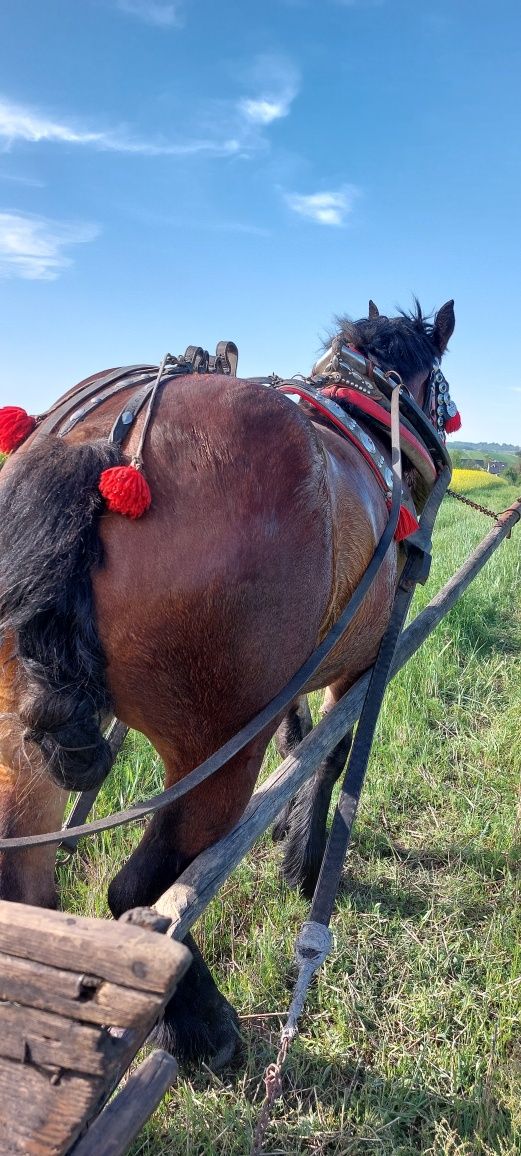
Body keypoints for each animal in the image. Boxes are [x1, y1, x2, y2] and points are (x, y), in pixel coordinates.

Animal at [0, 298, 457, 1063]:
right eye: (440, 386)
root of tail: (103, 447)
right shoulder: (361, 663)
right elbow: (329, 754)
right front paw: (304, 860)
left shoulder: (303, 668)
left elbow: (298, 739)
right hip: (217, 743)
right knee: (141, 892)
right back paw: (202, 1025)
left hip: (20, 732)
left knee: (27, 890)